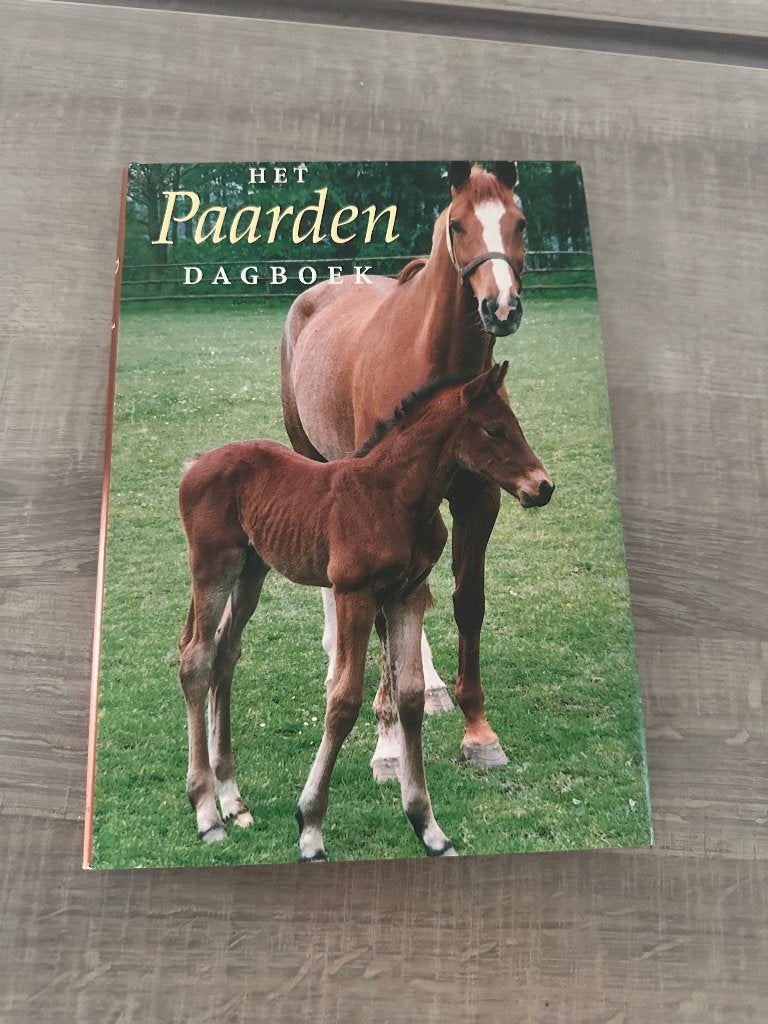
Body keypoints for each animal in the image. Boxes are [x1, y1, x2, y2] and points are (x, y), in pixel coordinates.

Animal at [178, 363, 553, 860]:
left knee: (225, 655)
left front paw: (429, 829)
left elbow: (410, 696)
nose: (543, 486)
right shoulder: (353, 593)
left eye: (516, 425)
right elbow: (343, 702)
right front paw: (310, 829)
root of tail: (196, 463)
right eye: (494, 430)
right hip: (213, 568)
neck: (393, 496)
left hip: (251, 570)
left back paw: (232, 802)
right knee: (196, 660)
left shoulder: (406, 595)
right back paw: (206, 814)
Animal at [281, 161, 528, 776]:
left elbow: (466, 602)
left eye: (519, 223)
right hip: (311, 456)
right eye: (458, 225)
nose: (502, 308)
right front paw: (389, 744)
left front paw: (478, 732)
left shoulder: (476, 501)